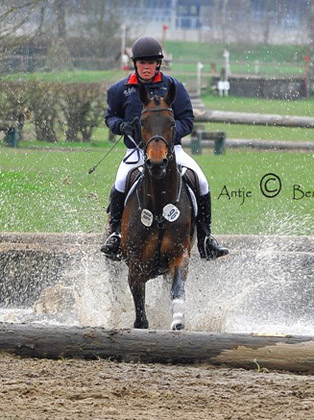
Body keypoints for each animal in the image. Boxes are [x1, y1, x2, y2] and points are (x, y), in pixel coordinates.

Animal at [121, 82, 195, 330]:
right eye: (142, 123)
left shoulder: (179, 254)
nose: (156, 164)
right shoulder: (136, 265)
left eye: (171, 123)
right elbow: (140, 310)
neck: (159, 204)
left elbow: (178, 288)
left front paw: (178, 320)